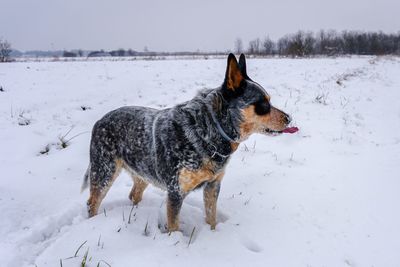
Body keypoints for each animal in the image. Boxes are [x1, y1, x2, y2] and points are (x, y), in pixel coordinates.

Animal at [81, 52, 296, 232]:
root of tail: (99, 120)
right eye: (263, 104)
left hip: (143, 171)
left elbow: (211, 217)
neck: (207, 130)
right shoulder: (176, 191)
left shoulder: (213, 186)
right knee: (92, 202)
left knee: (134, 194)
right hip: (104, 170)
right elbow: (174, 226)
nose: (289, 118)